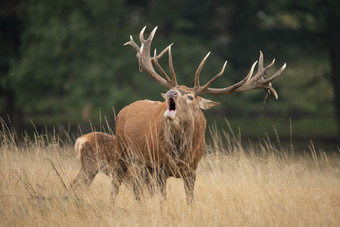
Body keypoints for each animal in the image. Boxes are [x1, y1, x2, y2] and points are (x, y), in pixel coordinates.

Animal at [109, 26, 284, 202]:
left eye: (190, 97)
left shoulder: (192, 169)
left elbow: (190, 199)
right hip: (121, 150)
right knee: (116, 182)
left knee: (137, 190)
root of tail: (124, 110)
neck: (180, 154)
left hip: (142, 165)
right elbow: (163, 200)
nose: (171, 93)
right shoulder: (159, 166)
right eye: (172, 90)